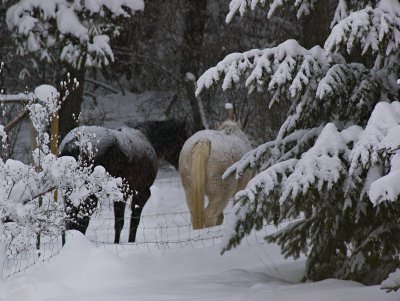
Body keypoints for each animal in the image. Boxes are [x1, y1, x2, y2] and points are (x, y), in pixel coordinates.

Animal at [59, 118, 188, 243]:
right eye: (181, 139)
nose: (183, 165)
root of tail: (75, 142)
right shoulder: (141, 194)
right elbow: (130, 223)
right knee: (79, 223)